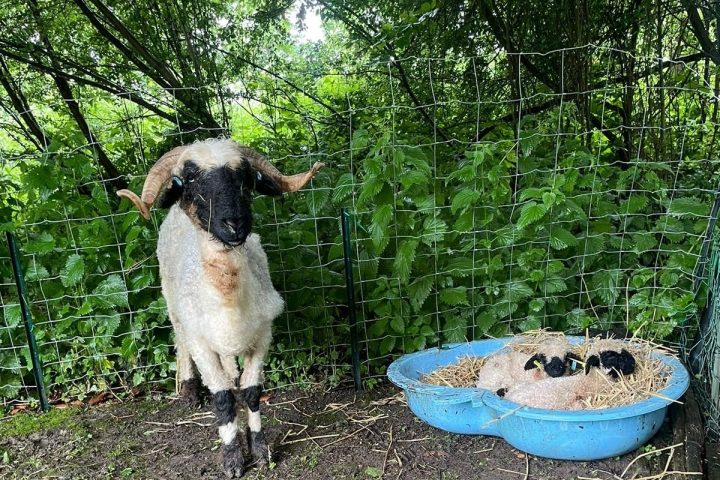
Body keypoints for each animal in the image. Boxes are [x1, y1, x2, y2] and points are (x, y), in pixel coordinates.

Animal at [116, 138, 323, 477]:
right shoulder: (202, 343)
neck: (228, 294)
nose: (235, 224)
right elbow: (223, 399)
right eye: (188, 180)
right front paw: (232, 459)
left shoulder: (262, 335)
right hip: (172, 303)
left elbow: (251, 392)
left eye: (247, 178)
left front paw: (260, 451)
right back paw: (188, 389)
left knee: (230, 368)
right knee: (179, 339)